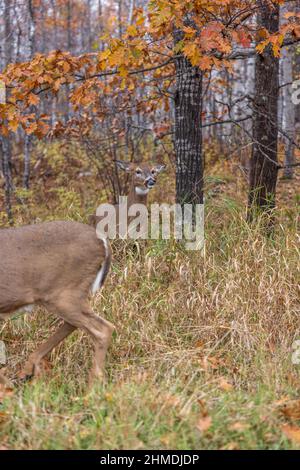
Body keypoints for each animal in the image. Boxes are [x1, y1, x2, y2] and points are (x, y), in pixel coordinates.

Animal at [0, 222, 114, 388]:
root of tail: (103, 242)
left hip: (63, 294)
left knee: (103, 328)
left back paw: (93, 386)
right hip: (65, 296)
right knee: (75, 324)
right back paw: (28, 371)